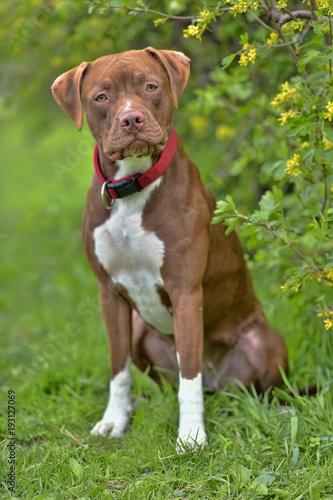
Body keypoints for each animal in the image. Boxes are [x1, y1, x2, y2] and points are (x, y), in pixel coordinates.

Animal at [50, 48, 286, 452]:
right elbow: (118, 368)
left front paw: (191, 436)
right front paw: (114, 420)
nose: (132, 118)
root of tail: (219, 384)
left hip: (264, 342)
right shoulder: (108, 294)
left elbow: (189, 376)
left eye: (151, 86)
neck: (133, 186)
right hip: (140, 332)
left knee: (253, 387)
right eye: (101, 97)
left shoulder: (185, 290)